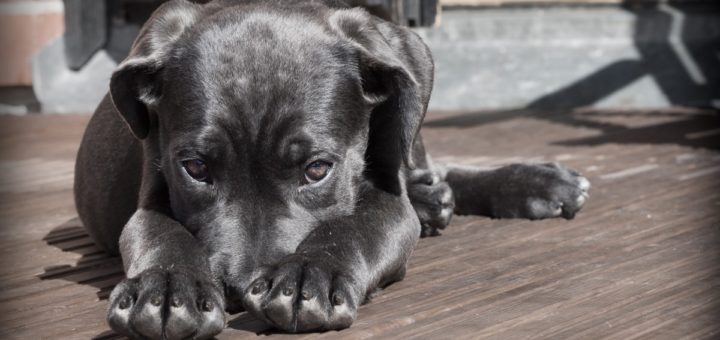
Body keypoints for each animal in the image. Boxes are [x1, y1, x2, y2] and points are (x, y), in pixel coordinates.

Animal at [73, 0, 592, 338]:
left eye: (317, 169)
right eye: (196, 168)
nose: (239, 288)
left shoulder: (387, 198)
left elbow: (356, 226)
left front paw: (310, 274)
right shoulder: (152, 192)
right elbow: (159, 232)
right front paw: (167, 287)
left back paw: (533, 182)